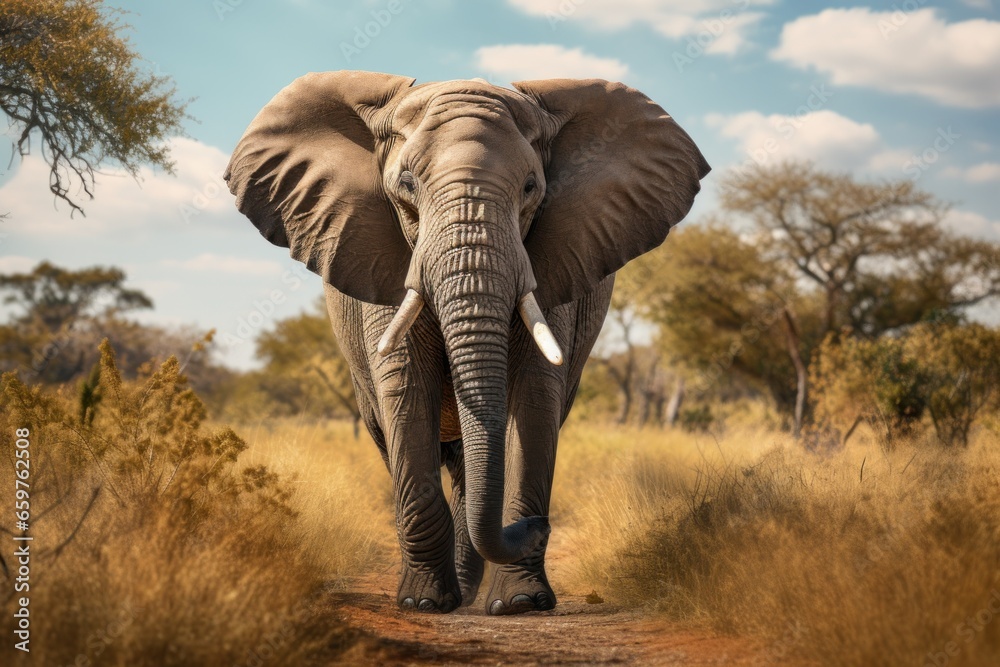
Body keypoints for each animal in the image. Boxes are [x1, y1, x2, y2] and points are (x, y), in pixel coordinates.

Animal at [225, 71, 709, 615]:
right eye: (406, 184)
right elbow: (405, 390)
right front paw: (423, 603)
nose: (536, 527)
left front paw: (519, 604)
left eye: (530, 187)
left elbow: (534, 396)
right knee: (396, 439)